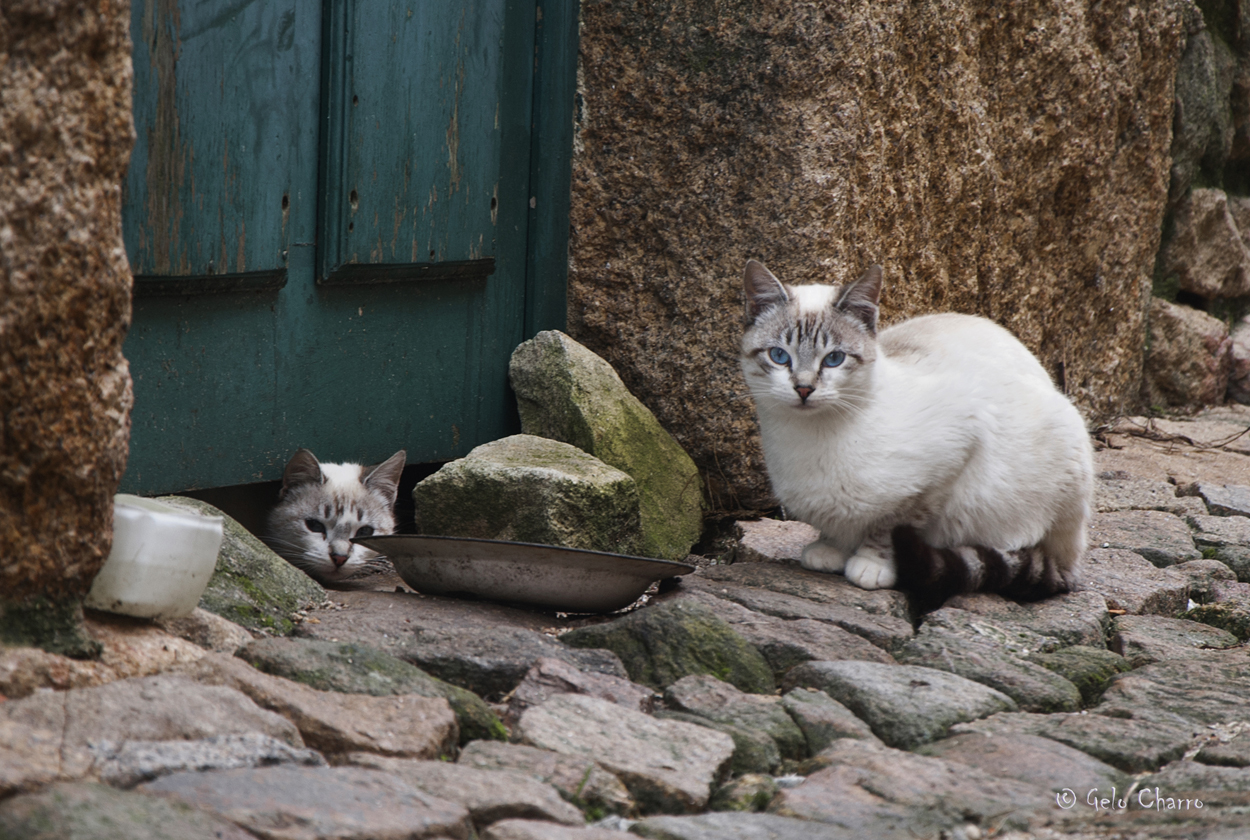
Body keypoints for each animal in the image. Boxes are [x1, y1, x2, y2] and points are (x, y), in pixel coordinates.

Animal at [740, 258, 1095, 600]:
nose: (803, 389)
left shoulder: (951, 457)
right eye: (779, 356)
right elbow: (836, 526)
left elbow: (890, 526)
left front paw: (871, 564)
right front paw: (830, 548)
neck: (809, 438)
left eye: (834, 359)